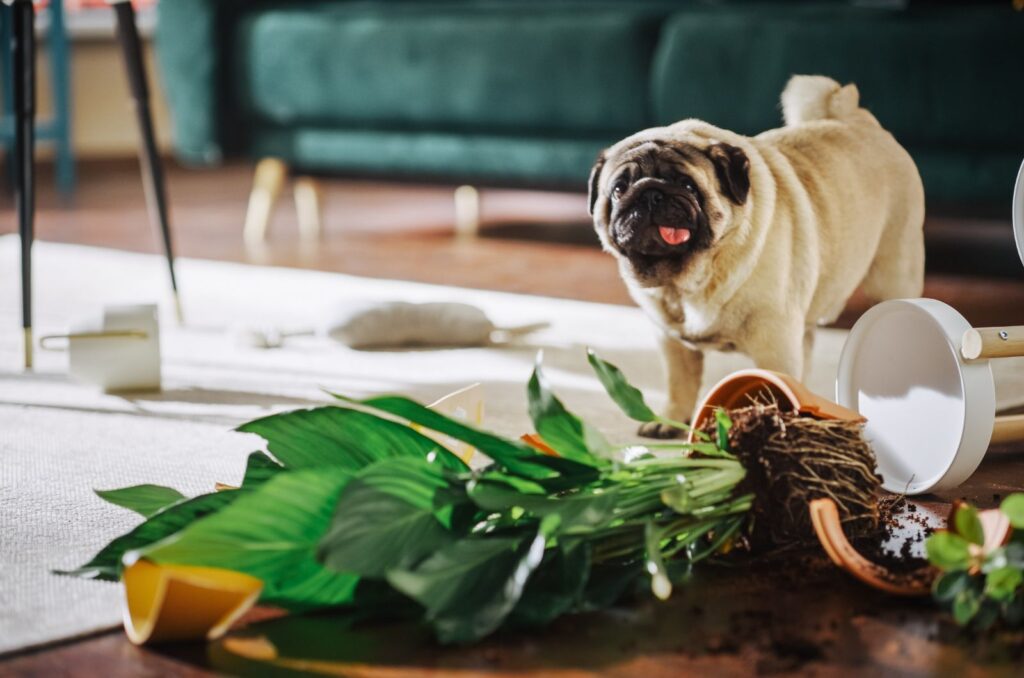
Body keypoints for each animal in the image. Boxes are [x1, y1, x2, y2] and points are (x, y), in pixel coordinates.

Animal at [589, 73, 925, 436]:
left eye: (689, 187)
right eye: (619, 189)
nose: (651, 193)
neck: (687, 281)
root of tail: (858, 117)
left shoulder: (775, 344)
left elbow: (776, 384)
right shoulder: (672, 343)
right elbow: (680, 385)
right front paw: (671, 421)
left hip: (892, 273)